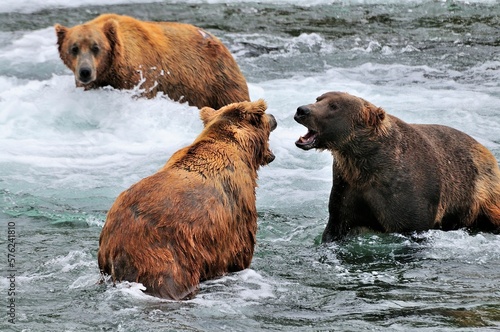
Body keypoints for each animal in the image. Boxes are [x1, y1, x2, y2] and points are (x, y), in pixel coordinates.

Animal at [96, 100, 278, 300]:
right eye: (264, 116)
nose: (274, 118)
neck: (243, 151)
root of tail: (115, 249)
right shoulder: (238, 211)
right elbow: (241, 252)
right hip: (163, 256)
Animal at [292, 91, 500, 241]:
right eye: (318, 98)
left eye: (334, 106)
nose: (302, 110)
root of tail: (487, 151)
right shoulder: (347, 186)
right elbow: (336, 225)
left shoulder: (406, 193)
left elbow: (410, 224)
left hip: (481, 192)